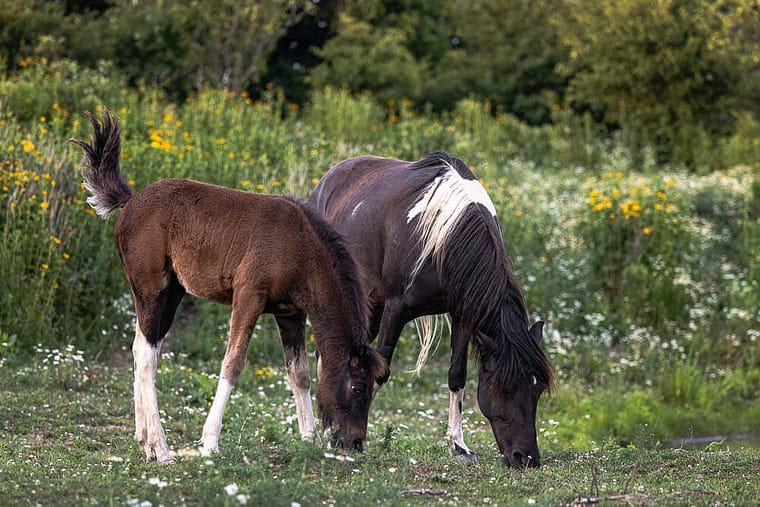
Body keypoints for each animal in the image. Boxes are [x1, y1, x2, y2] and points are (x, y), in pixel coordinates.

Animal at [69, 110, 387, 464]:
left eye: (376, 388)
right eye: (357, 387)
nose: (354, 443)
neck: (301, 248)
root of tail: (130, 201)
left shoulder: (289, 313)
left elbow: (300, 373)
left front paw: (309, 439)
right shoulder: (249, 296)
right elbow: (233, 364)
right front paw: (210, 442)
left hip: (171, 293)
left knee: (141, 348)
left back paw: (144, 441)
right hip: (152, 287)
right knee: (147, 355)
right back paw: (161, 449)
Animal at [308, 151, 553, 468]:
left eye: (536, 389)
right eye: (506, 388)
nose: (526, 458)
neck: (446, 236)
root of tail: (330, 176)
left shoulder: (463, 314)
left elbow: (456, 375)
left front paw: (459, 446)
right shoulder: (396, 308)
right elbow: (376, 372)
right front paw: (347, 438)